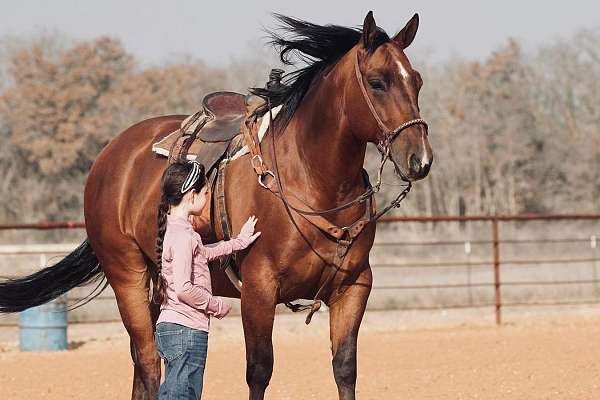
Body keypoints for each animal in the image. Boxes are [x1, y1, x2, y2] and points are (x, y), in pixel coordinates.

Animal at [0, 10, 432, 398]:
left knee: (144, 366)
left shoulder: (354, 287)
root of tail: (111, 155)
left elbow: (344, 367)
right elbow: (259, 370)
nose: (421, 159)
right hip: (127, 275)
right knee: (149, 361)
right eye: (377, 82)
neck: (312, 179)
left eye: (417, 82)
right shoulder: (259, 290)